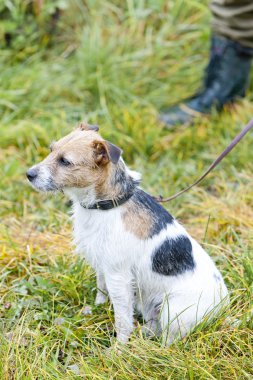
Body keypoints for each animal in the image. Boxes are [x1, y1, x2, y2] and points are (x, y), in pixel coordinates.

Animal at [26, 121, 228, 344]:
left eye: (65, 161)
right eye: (51, 150)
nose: (29, 174)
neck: (107, 204)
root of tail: (223, 305)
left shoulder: (118, 277)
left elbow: (122, 318)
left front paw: (119, 346)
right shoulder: (103, 265)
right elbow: (101, 287)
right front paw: (98, 306)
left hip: (173, 311)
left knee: (169, 340)